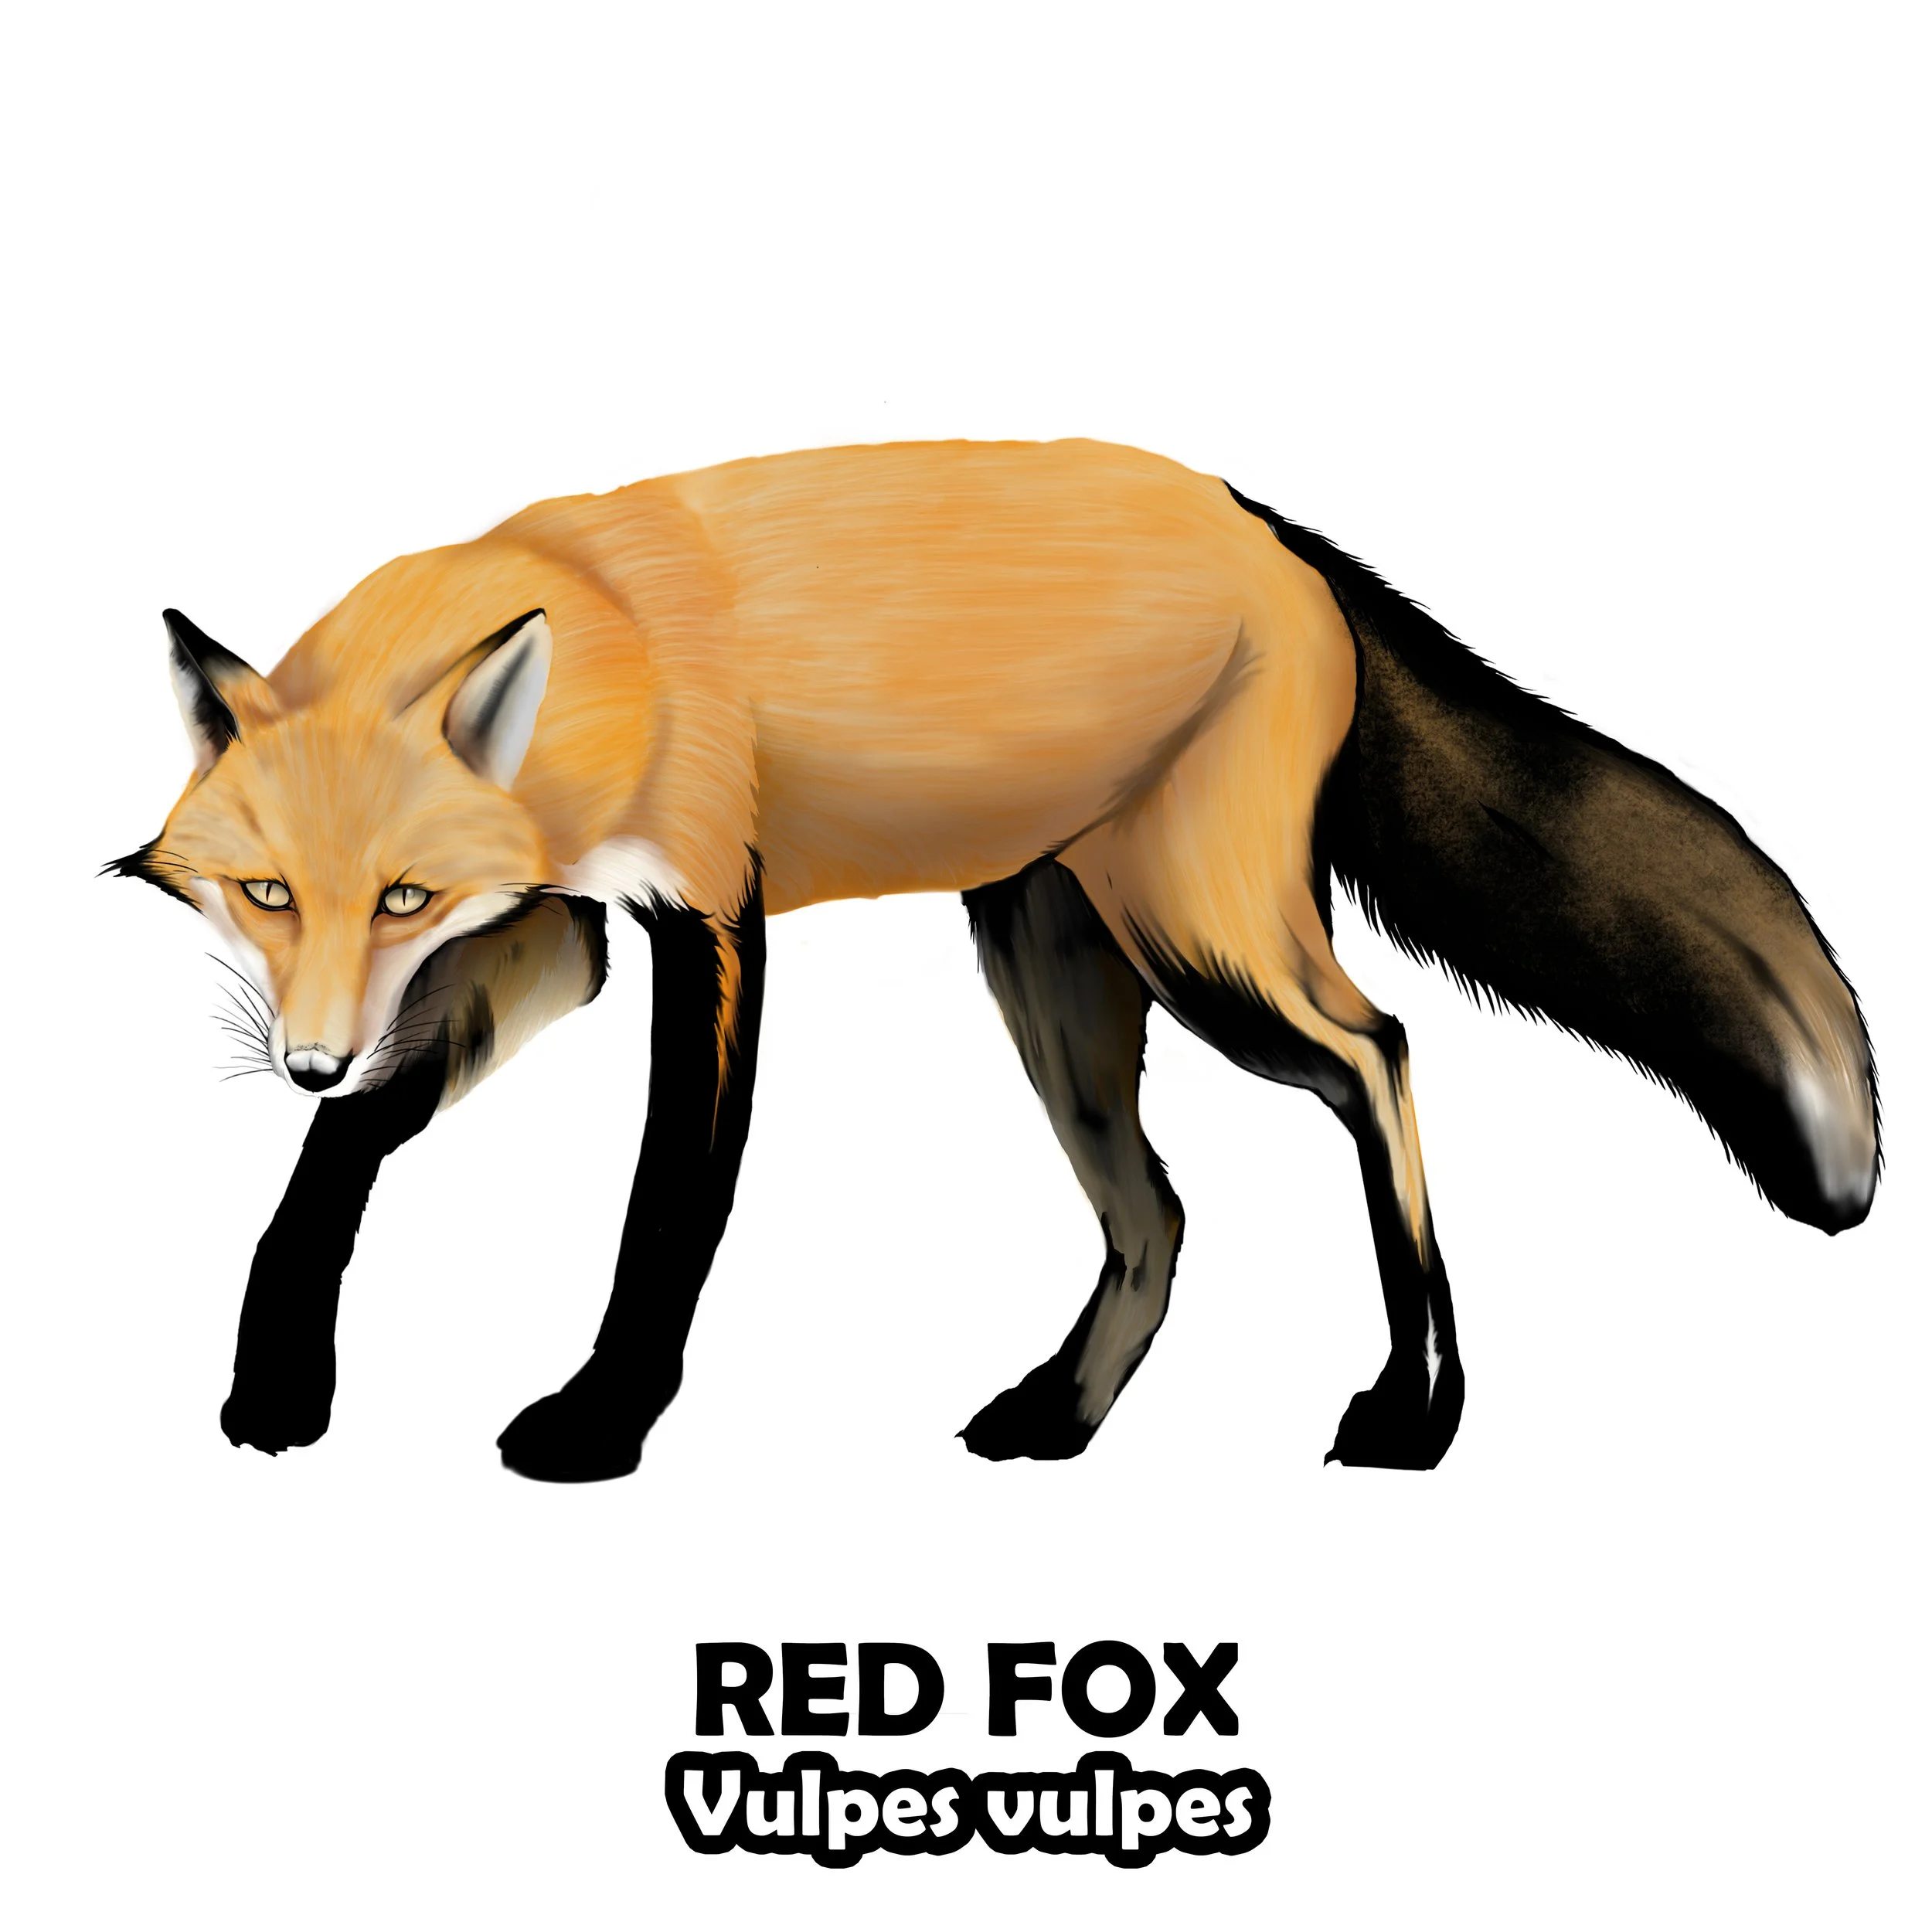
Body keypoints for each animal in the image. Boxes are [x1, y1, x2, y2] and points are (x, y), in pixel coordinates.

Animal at [112, 439, 1878, 1482]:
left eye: (400, 894)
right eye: (269, 894)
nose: (305, 1053)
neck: (606, 648)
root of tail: (1269, 523)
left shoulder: (707, 911)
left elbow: (666, 1212)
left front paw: (601, 1419)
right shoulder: (554, 928)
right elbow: (345, 1155)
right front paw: (279, 1371)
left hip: (1206, 947)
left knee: (1376, 1051)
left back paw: (1416, 1406)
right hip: (1054, 972)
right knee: (1161, 1212)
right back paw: (1061, 1415)